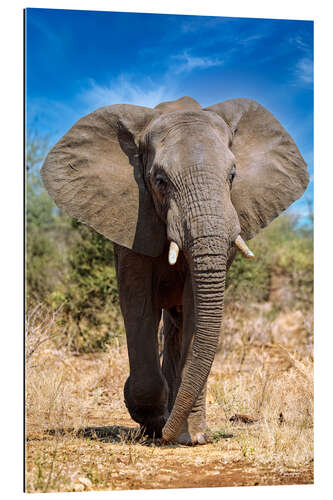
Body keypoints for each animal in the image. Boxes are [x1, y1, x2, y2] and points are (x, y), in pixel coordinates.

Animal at [41, 95, 308, 444]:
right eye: (159, 181)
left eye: (232, 176)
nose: (166, 433)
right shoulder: (132, 217)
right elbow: (137, 302)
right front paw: (153, 422)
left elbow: (197, 306)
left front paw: (190, 436)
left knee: (178, 324)